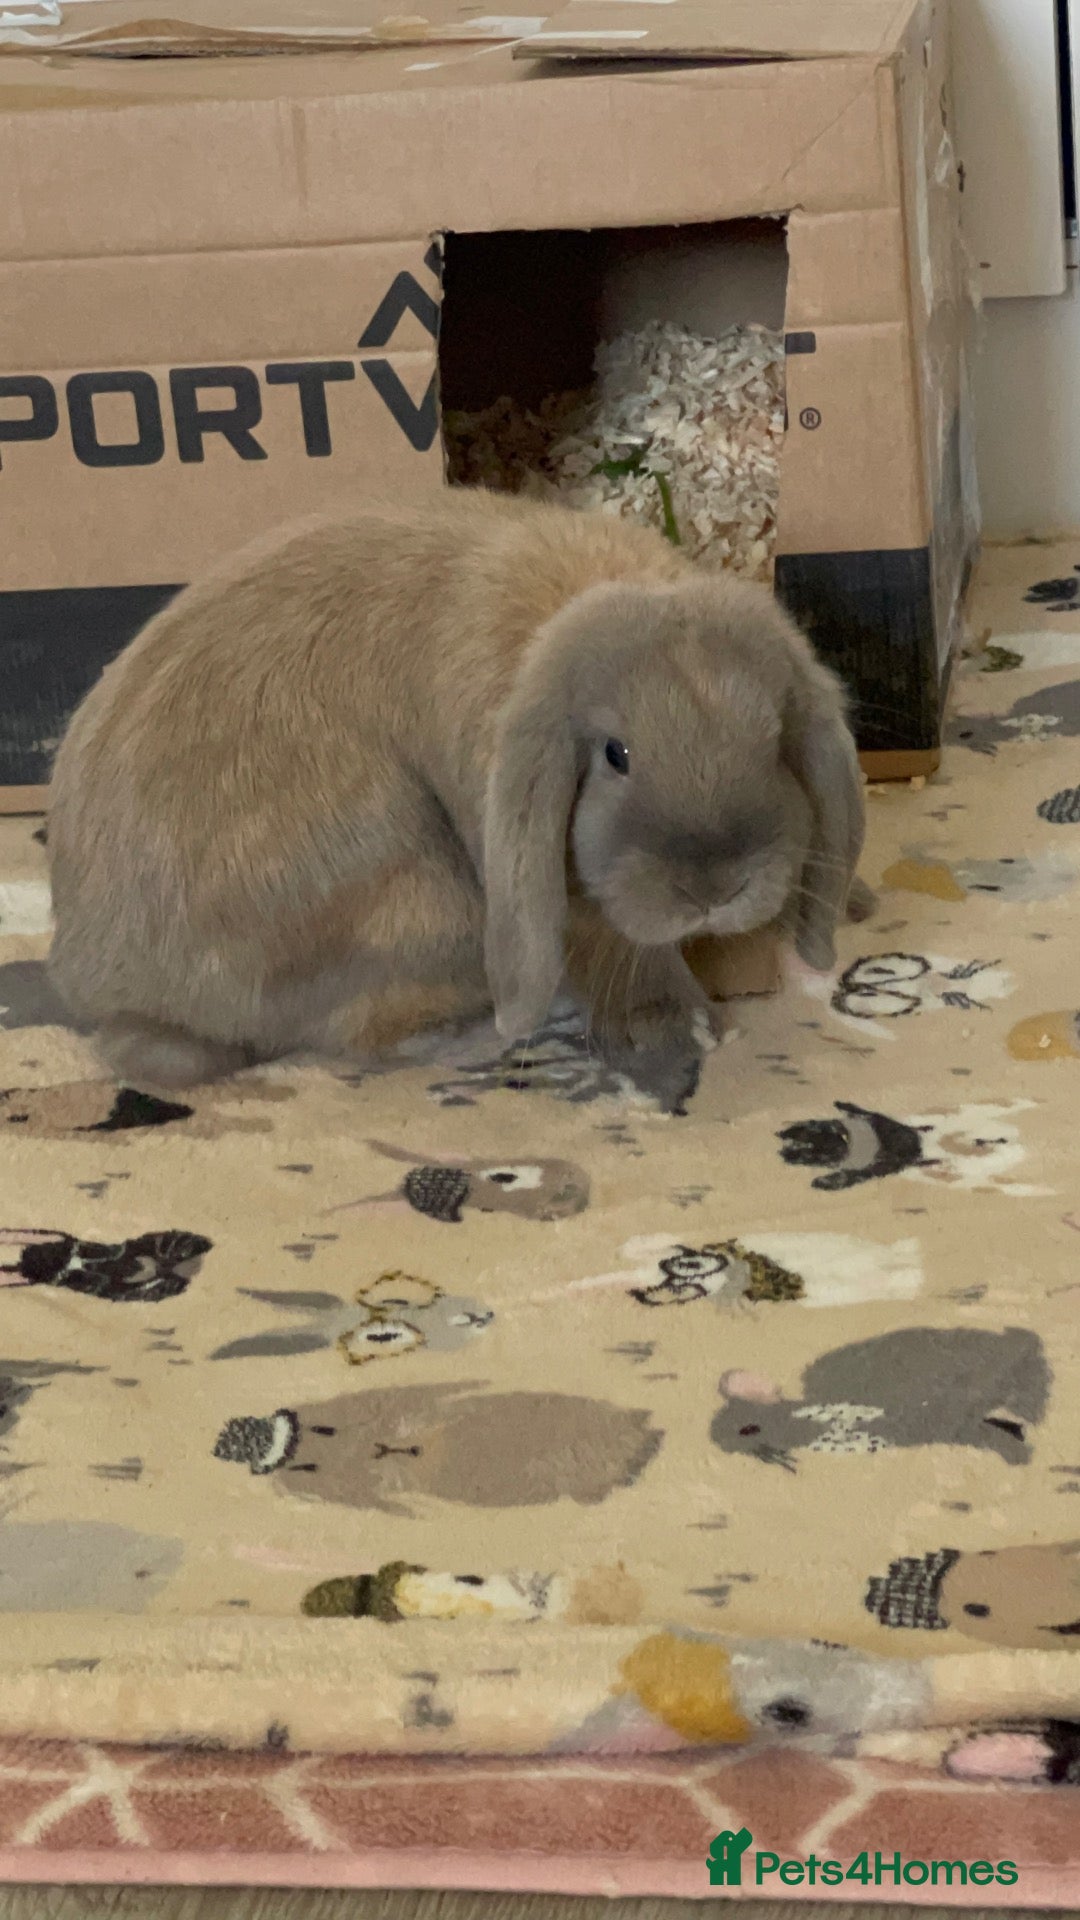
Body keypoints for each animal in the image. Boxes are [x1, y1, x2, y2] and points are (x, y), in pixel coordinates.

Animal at [47, 489, 866, 1090]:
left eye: (774, 740)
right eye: (616, 754)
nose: (716, 886)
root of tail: (112, 997)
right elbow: (611, 942)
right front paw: (677, 1027)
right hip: (415, 903)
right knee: (365, 1036)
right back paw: (482, 1039)